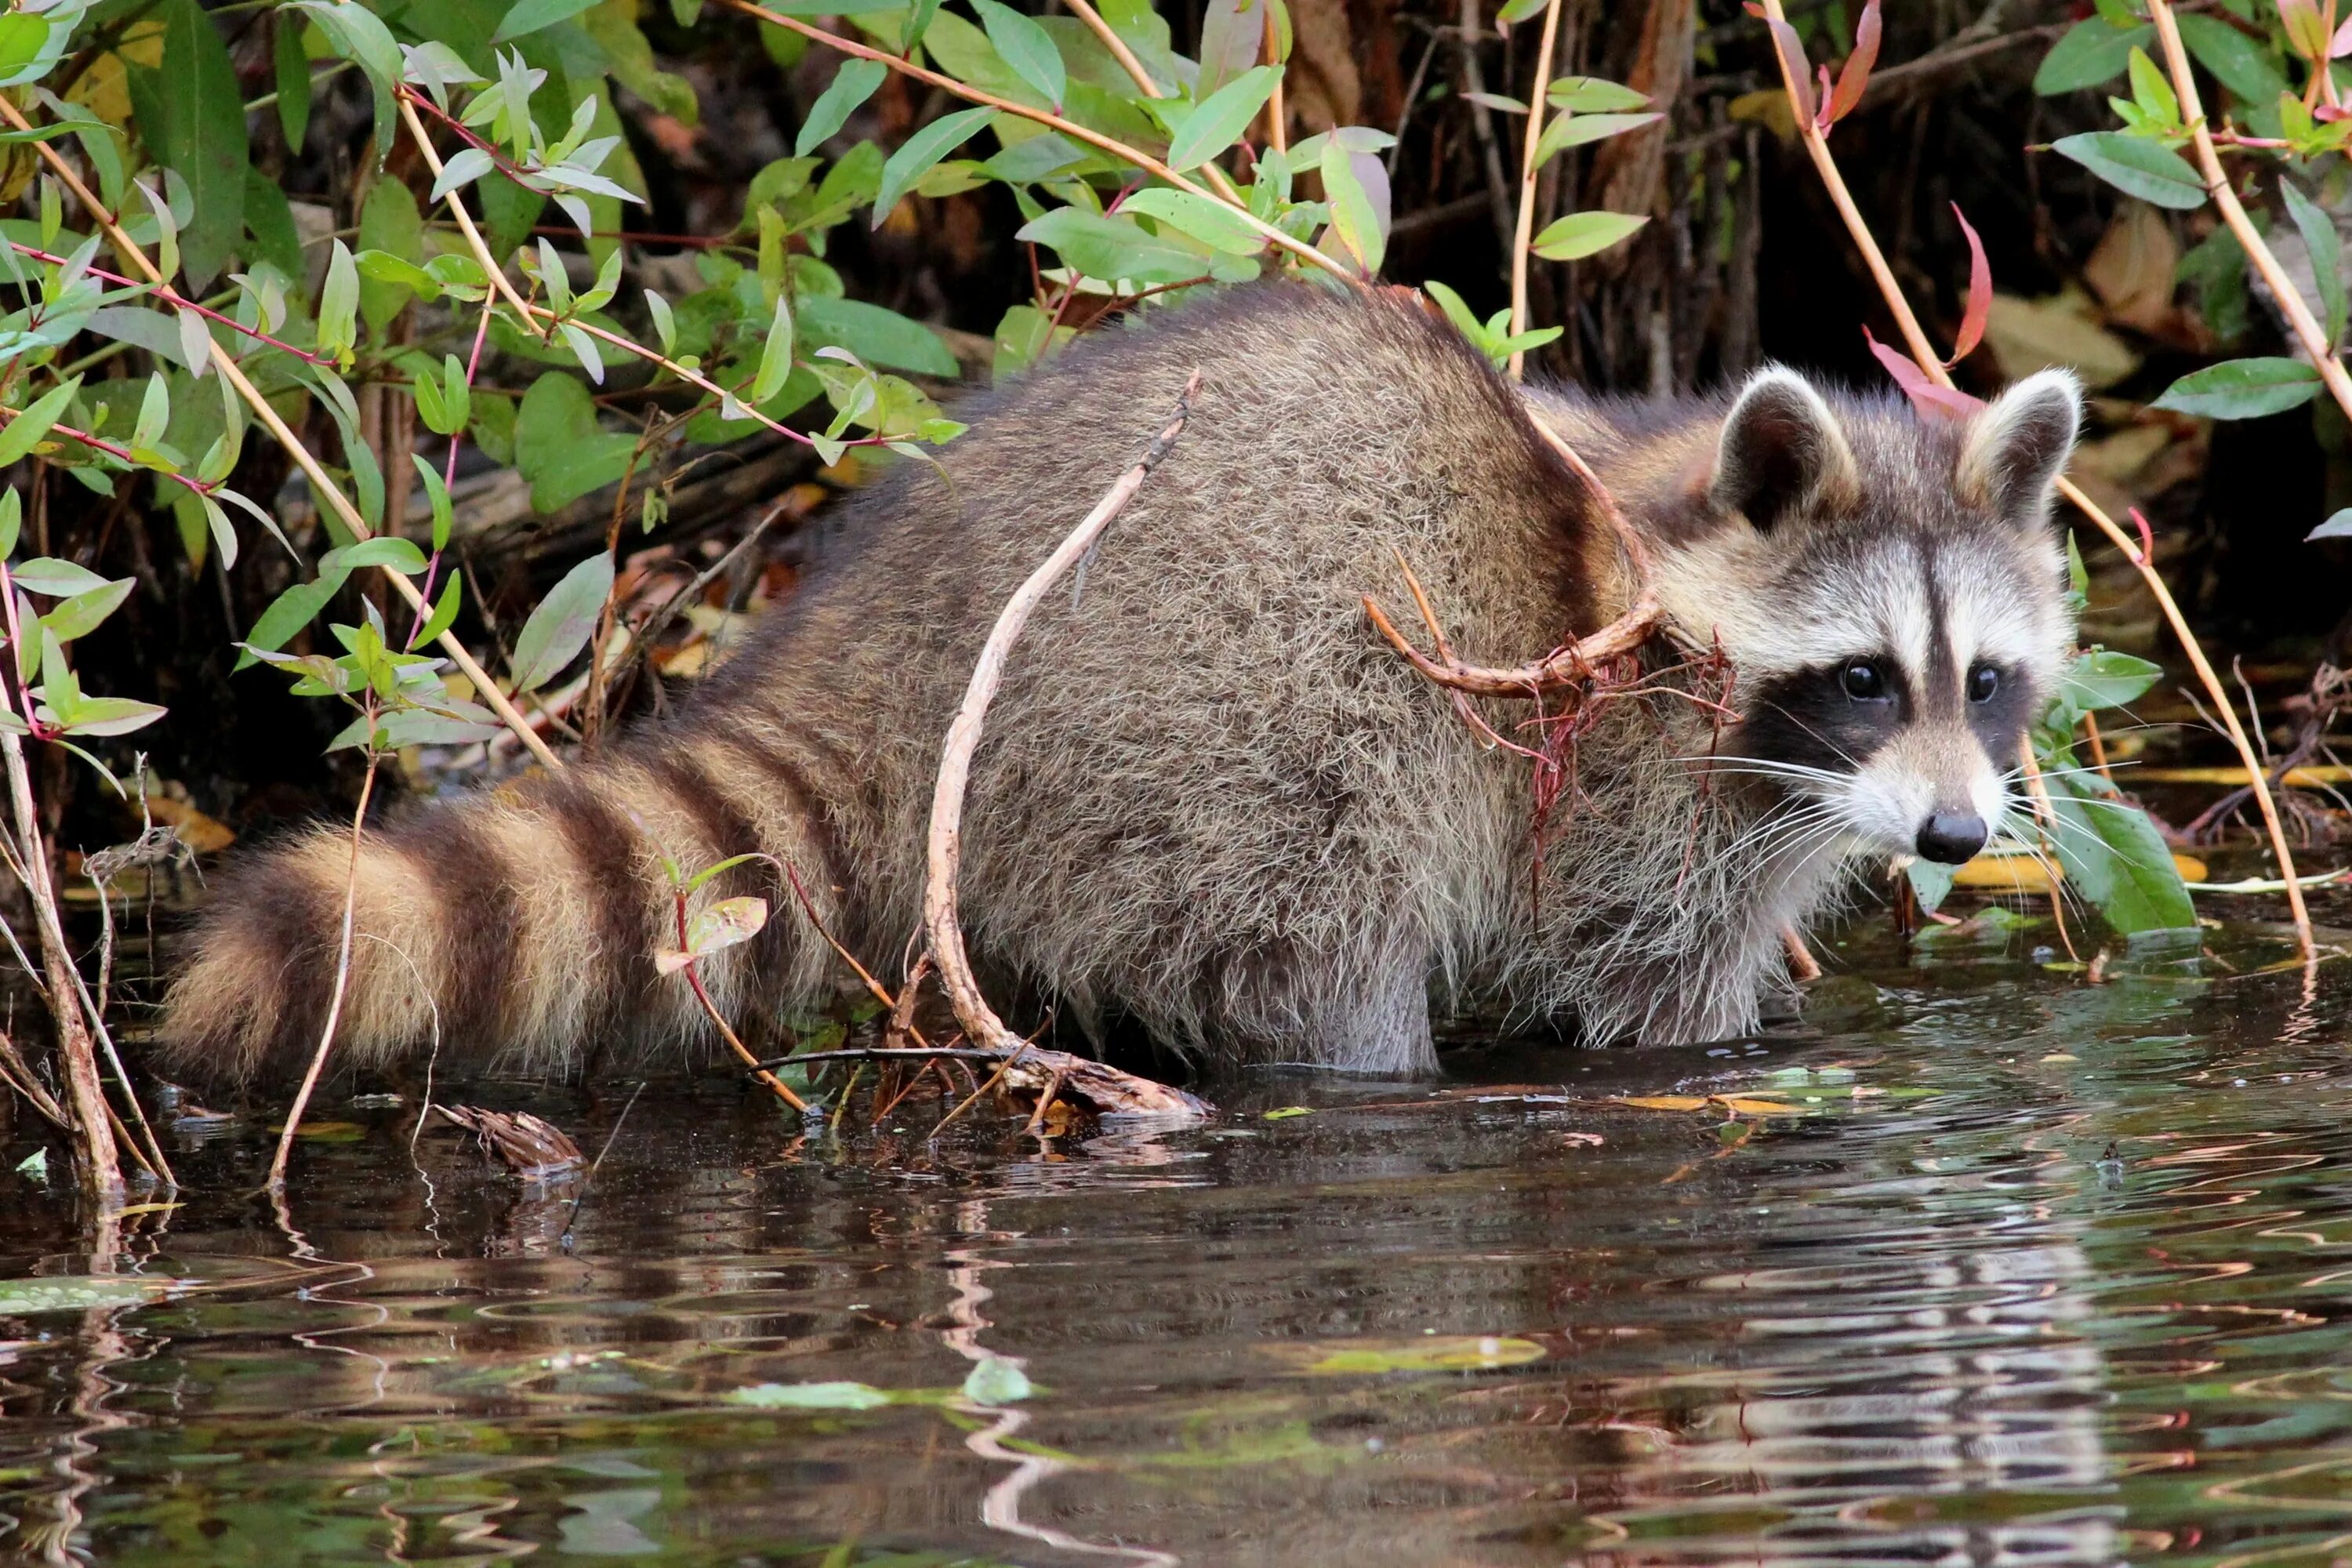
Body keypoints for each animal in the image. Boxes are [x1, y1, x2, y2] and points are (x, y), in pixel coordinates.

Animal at [165, 285, 2079, 1091]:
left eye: (1985, 682)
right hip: (1222, 709)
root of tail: (897, 625)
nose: (1956, 837)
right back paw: (1363, 1066)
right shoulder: (1621, 777)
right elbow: (1640, 988)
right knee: (1320, 926)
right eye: (1860, 679)